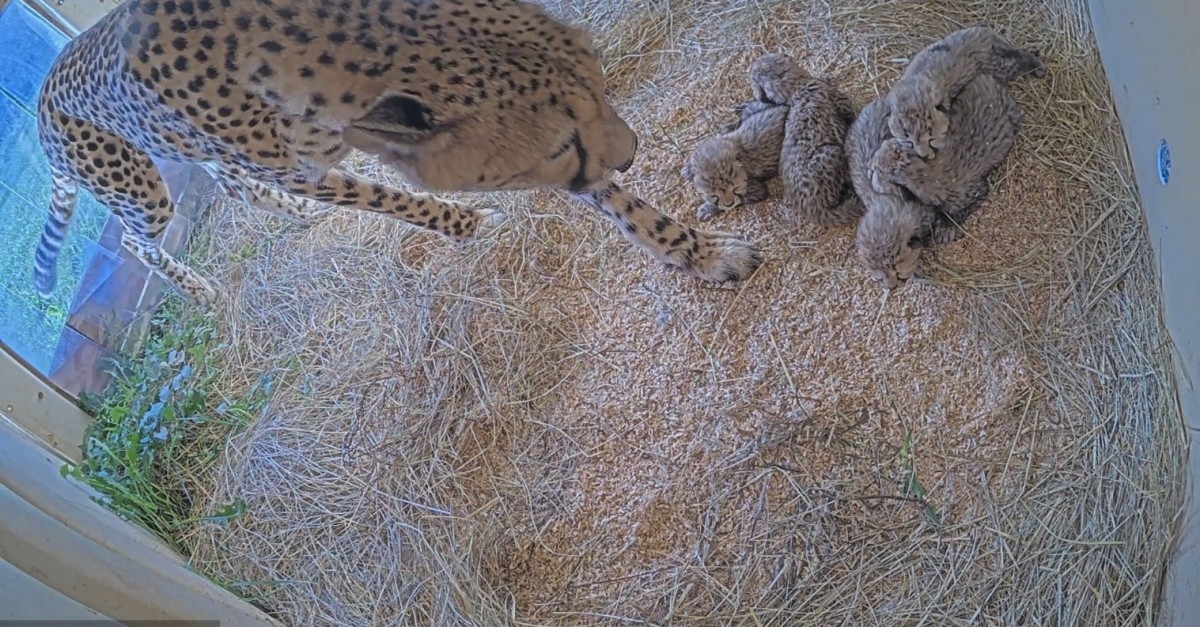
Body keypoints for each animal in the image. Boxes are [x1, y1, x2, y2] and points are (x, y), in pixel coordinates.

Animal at [39, 0, 768, 302]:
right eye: (560, 141)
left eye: (598, 91)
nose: (632, 151)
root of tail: (44, 92)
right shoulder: (314, 167)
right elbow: (389, 198)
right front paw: (464, 224)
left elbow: (619, 207)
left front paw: (698, 252)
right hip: (141, 191)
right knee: (138, 242)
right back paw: (196, 285)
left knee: (233, 184)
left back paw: (294, 218)